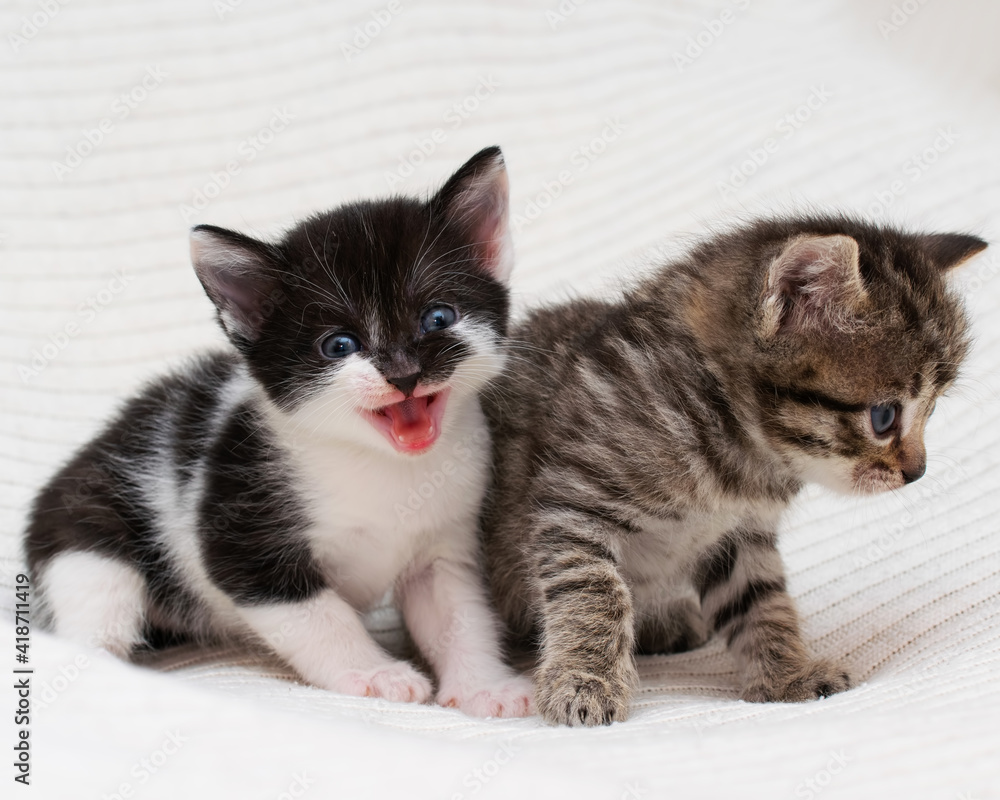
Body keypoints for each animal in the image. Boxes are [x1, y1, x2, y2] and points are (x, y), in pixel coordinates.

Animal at [25, 147, 532, 716]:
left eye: (439, 317)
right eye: (339, 346)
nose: (403, 374)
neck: (379, 464)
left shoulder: (444, 541)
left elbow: (457, 612)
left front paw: (484, 686)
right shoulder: (238, 526)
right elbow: (318, 615)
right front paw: (375, 673)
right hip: (85, 537)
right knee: (99, 606)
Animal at [482, 216, 984, 728]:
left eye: (932, 409)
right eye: (884, 416)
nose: (918, 471)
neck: (738, 455)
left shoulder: (739, 534)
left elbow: (762, 600)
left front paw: (787, 674)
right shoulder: (576, 503)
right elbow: (595, 592)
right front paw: (585, 681)